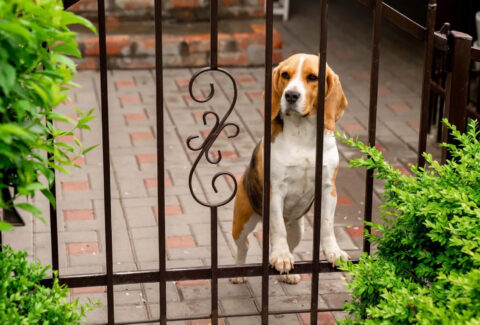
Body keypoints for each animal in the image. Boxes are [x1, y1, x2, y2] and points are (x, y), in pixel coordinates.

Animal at [230, 53, 346, 284]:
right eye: (285, 75)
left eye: (313, 77)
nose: (291, 95)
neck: (302, 134)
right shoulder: (275, 190)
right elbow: (278, 230)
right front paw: (282, 256)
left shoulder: (328, 188)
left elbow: (327, 225)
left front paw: (333, 251)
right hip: (242, 222)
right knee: (244, 244)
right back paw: (239, 271)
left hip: (297, 229)